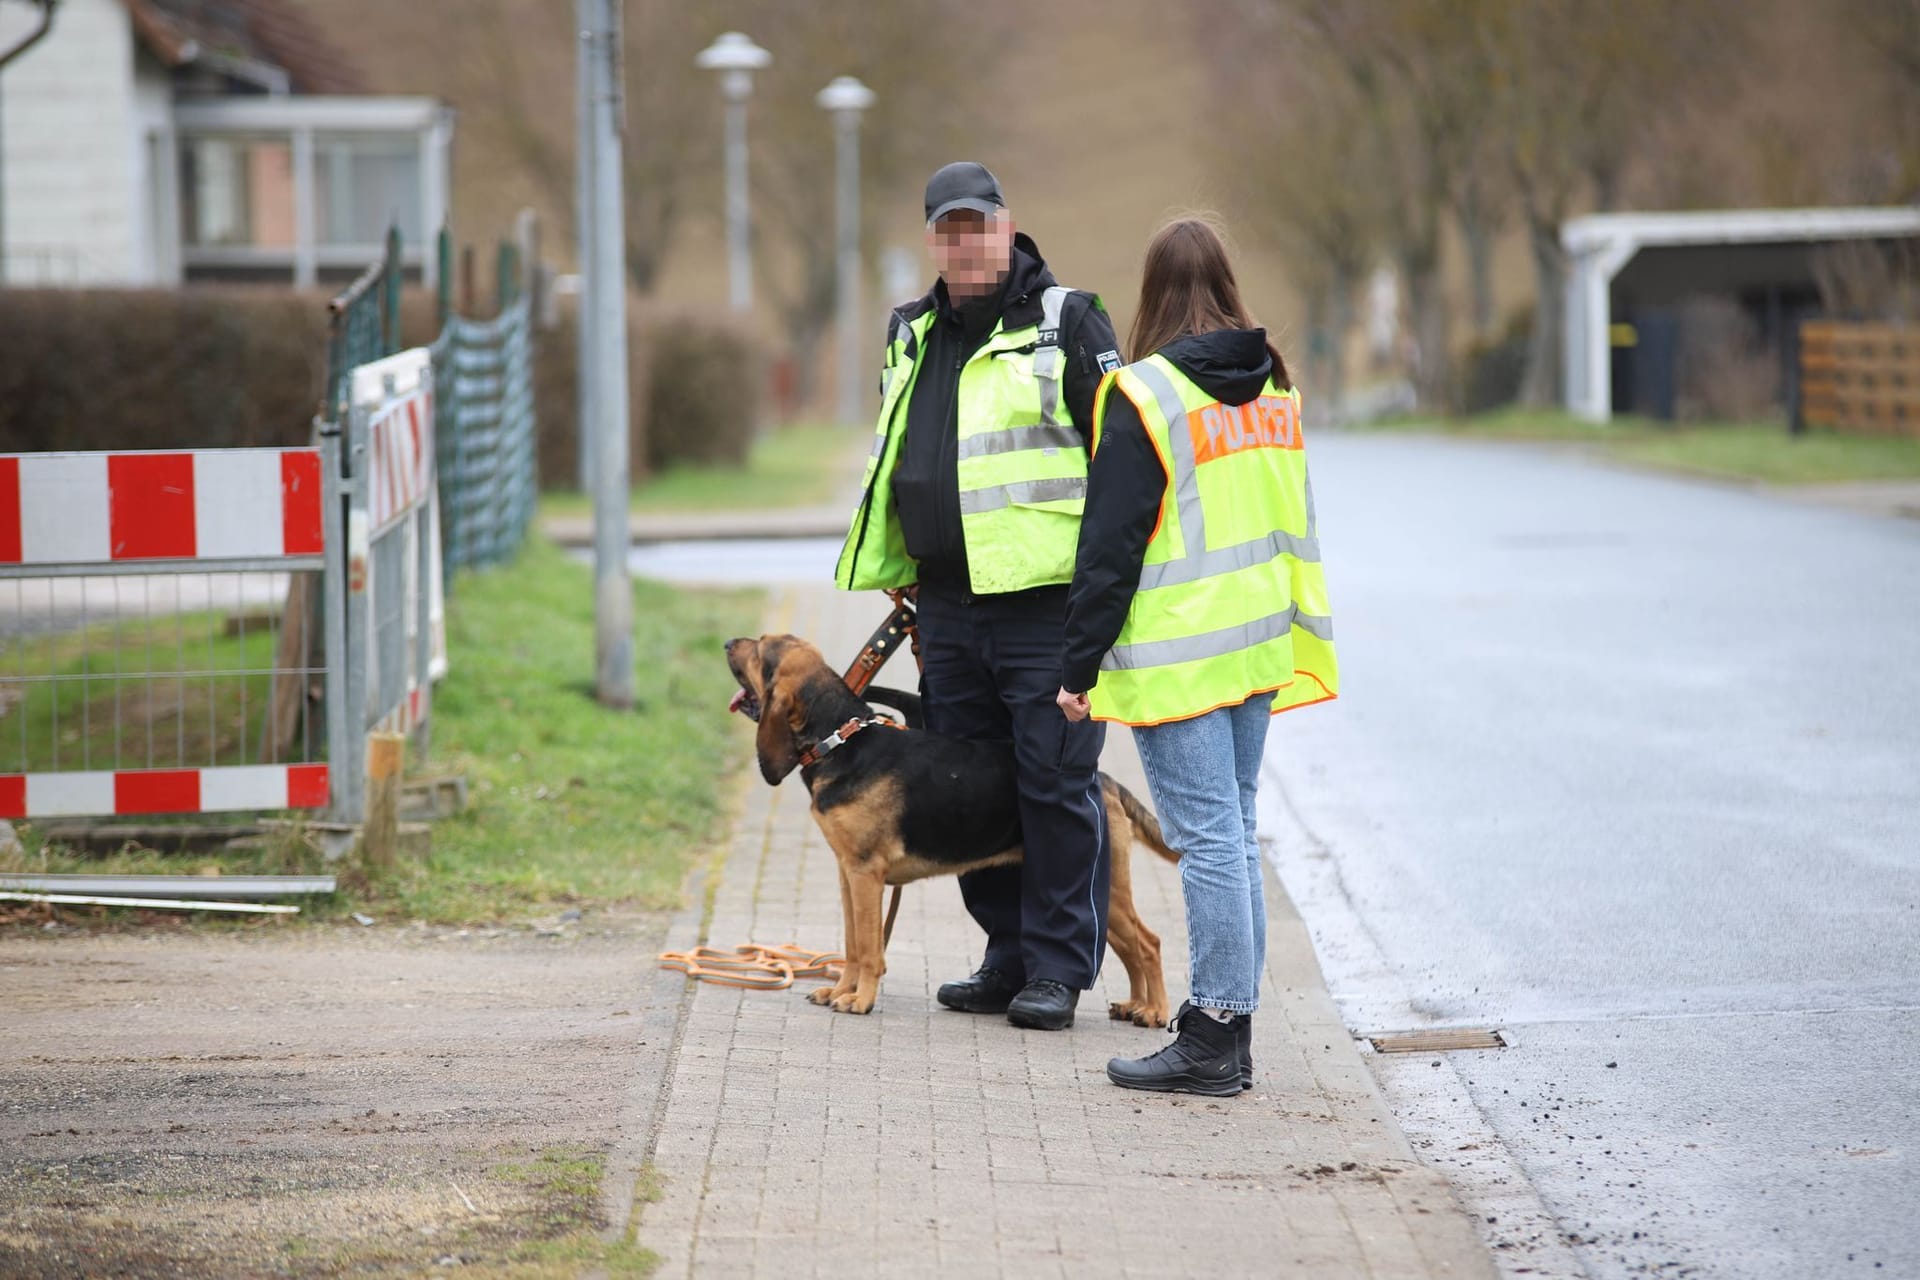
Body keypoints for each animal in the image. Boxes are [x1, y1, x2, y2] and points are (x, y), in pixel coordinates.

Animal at [721, 637, 1167, 1028]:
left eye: (760, 650)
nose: (728, 643)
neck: (841, 741)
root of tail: (1105, 782)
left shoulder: (866, 874)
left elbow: (868, 949)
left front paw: (860, 1000)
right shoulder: (848, 873)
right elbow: (851, 944)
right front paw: (840, 991)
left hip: (1102, 883)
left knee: (1149, 943)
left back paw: (1155, 1012)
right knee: (1132, 948)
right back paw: (1133, 1005)